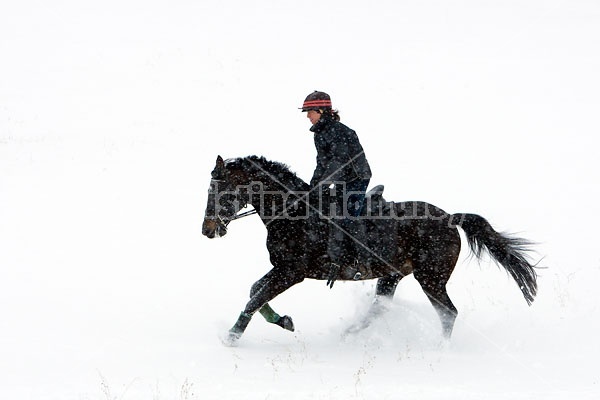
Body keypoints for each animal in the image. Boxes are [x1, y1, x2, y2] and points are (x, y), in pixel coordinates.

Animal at [202, 155, 540, 346]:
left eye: (222, 190)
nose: (207, 229)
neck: (293, 212)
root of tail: (450, 218)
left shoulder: (292, 272)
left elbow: (255, 297)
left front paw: (231, 337)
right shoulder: (283, 269)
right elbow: (255, 291)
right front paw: (284, 321)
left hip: (431, 278)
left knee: (448, 313)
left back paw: (440, 349)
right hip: (393, 274)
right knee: (380, 306)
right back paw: (347, 334)